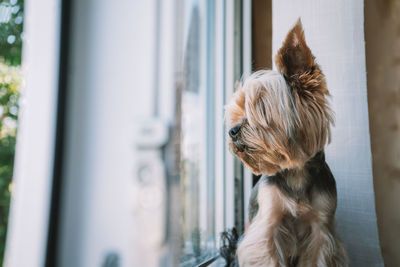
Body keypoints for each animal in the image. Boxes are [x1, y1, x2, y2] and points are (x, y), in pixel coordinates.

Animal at [223, 19, 348, 266]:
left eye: (260, 106)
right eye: (238, 111)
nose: (232, 131)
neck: (295, 171)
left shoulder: (321, 227)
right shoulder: (266, 226)